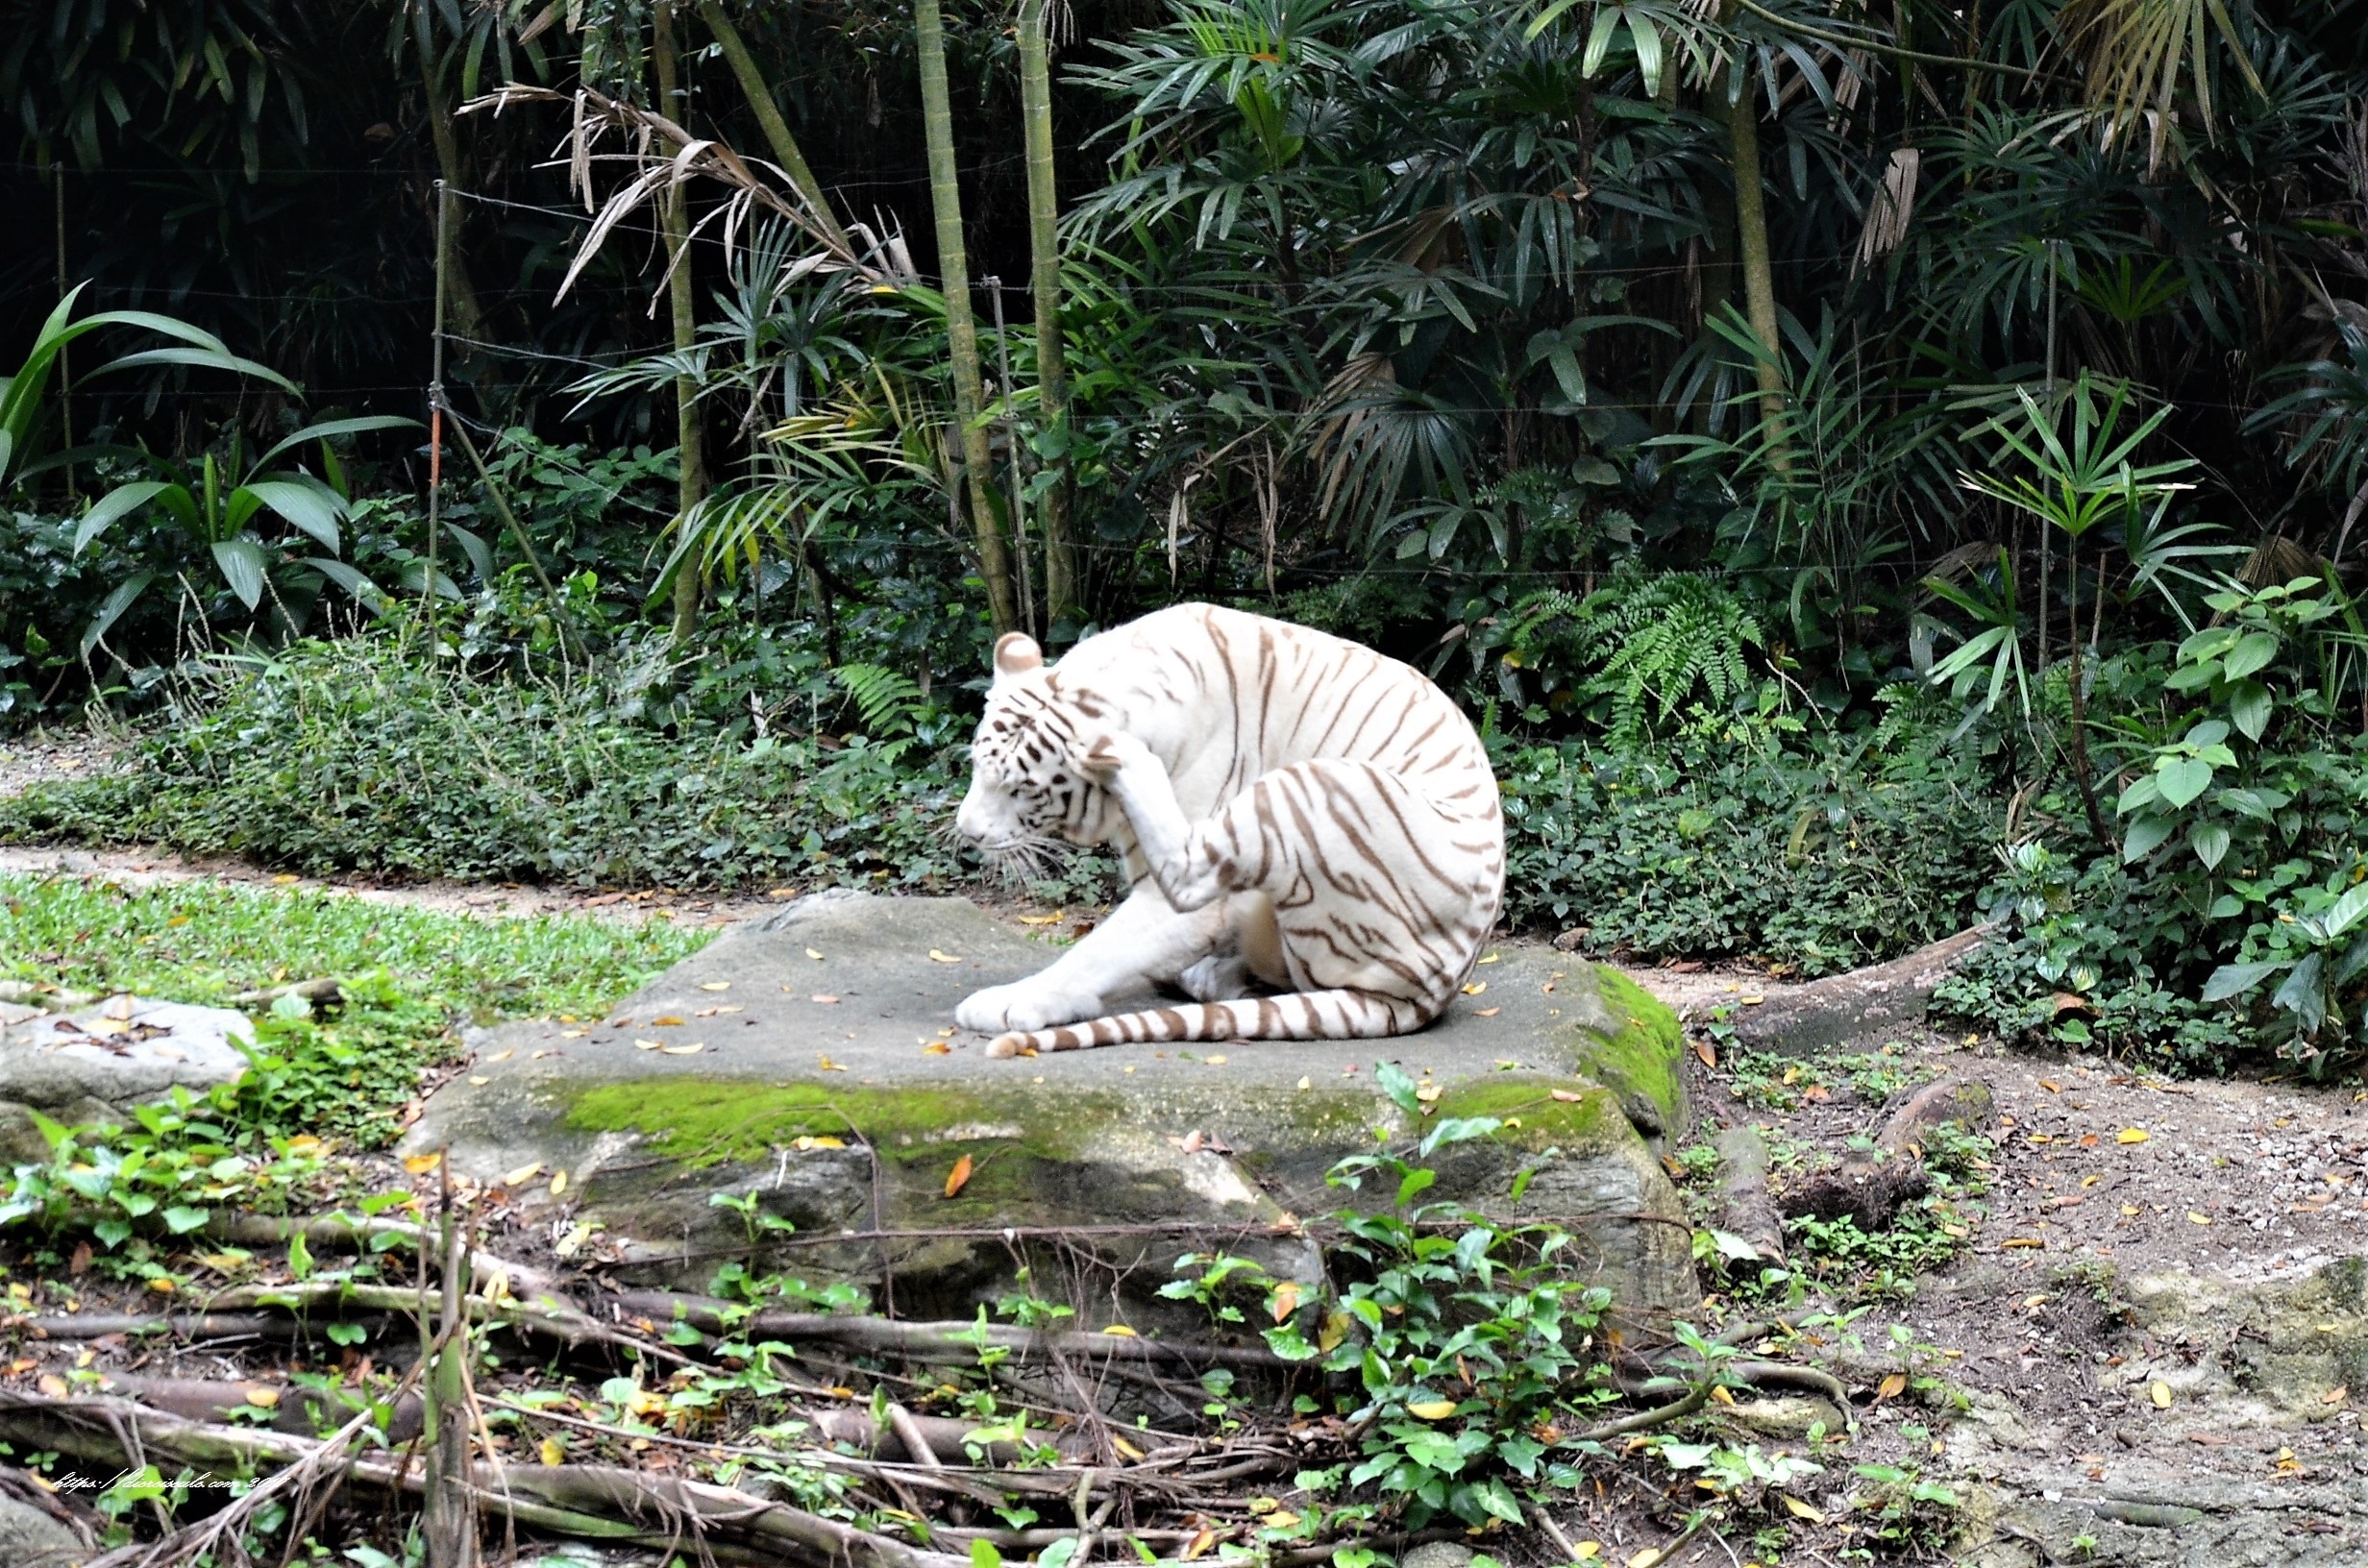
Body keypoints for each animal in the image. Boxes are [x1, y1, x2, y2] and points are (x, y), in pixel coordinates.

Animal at [953, 602, 1504, 1060]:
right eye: (977, 765)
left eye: (1022, 790)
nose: (967, 832)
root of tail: (1426, 996)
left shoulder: (1172, 900)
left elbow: (1097, 951)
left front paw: (1011, 1002)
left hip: (1313, 782)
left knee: (1193, 877)